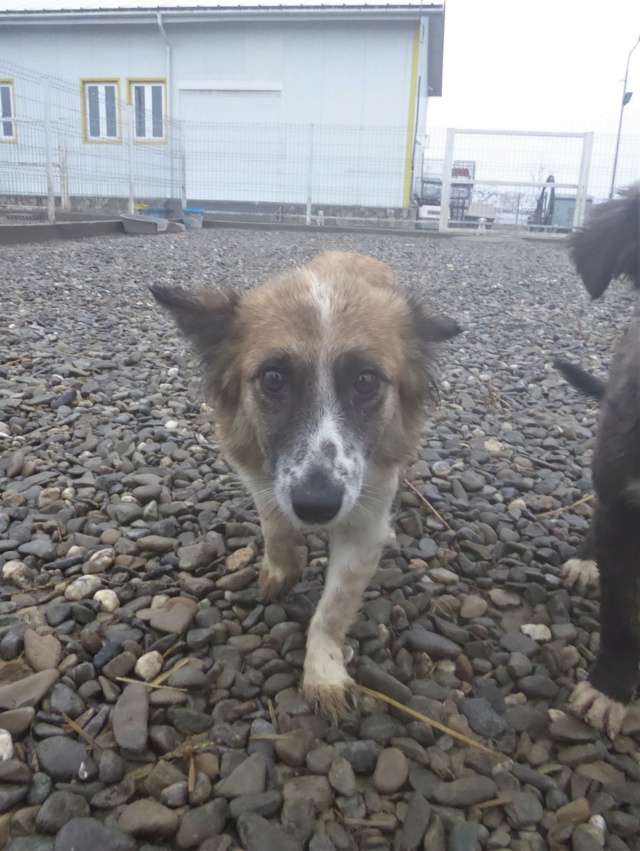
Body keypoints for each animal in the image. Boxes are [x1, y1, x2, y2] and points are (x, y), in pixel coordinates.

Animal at [150, 253, 460, 720]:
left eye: (366, 381)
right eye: (274, 378)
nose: (317, 506)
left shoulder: (365, 526)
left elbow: (332, 610)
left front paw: (323, 674)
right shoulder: (263, 479)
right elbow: (276, 528)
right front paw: (282, 569)